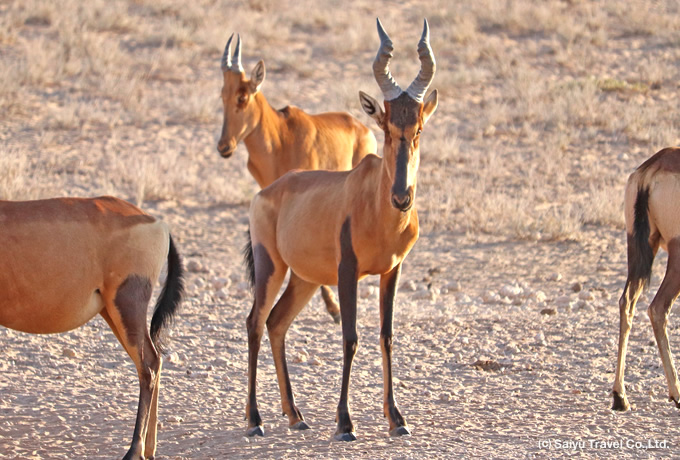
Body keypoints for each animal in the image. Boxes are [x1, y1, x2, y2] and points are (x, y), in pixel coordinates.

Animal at [0, 197, 183, 460]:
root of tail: (157, 223)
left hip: (126, 304)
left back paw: (134, 450)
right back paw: (149, 450)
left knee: (148, 365)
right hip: (111, 311)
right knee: (155, 360)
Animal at [218, 34, 378, 326]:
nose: (224, 146)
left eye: (242, 96)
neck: (280, 136)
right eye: (222, 94)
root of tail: (362, 127)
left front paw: (335, 309)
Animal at [242, 18, 438, 442]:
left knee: (277, 323)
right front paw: (345, 424)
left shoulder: (392, 271)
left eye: (417, 129)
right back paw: (254, 420)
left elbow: (386, 336)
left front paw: (397, 419)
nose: (402, 198)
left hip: (305, 278)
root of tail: (266, 192)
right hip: (272, 267)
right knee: (255, 322)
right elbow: (350, 338)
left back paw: (295, 415)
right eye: (385, 127)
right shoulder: (348, 270)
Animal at [612, 146, 680, 410]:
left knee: (626, 303)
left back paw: (620, 397)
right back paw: (676, 394)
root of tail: (654, 167)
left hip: (639, 246)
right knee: (658, 307)